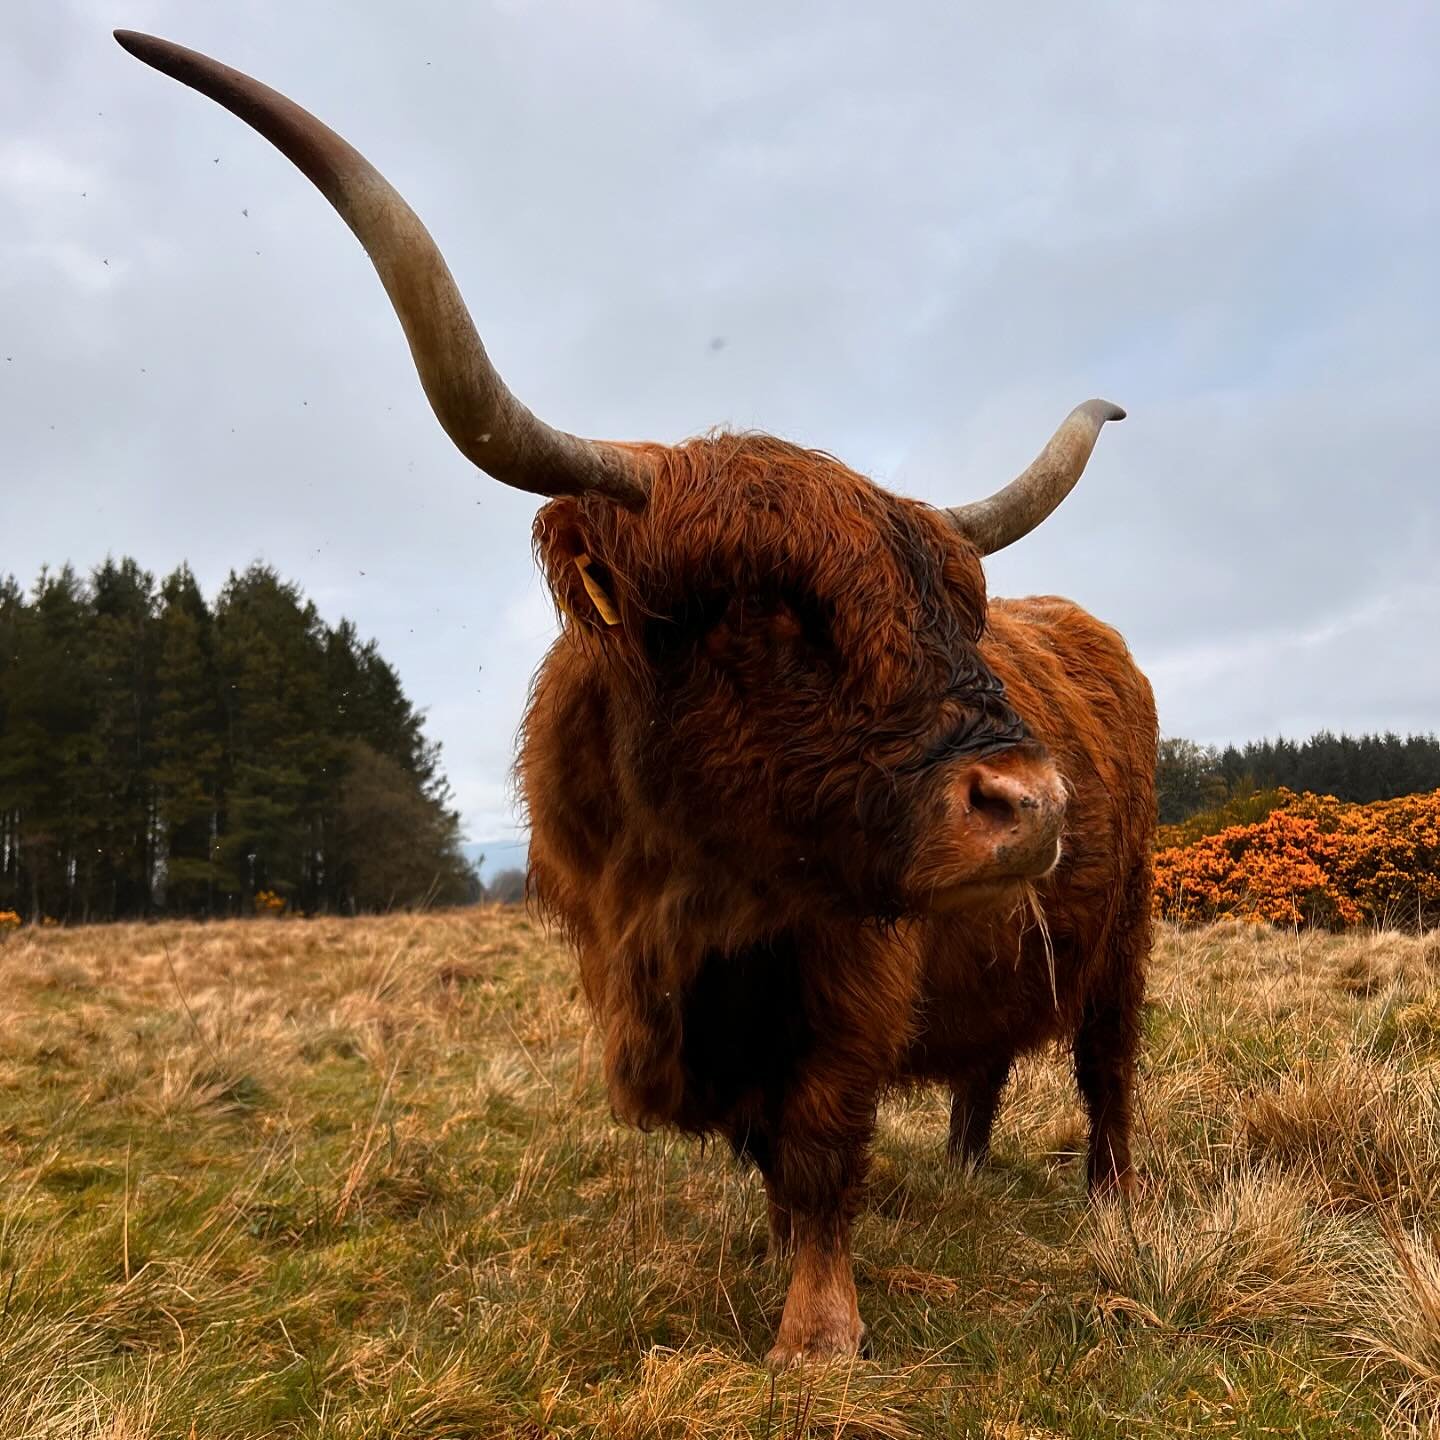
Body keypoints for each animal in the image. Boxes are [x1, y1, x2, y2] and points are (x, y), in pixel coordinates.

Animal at [120, 28, 1157, 1365]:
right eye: (768, 610)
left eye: (957, 611)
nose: (1028, 804)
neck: (693, 893)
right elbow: (772, 1156)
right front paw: (778, 1262)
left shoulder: (847, 987)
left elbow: (818, 1146)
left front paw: (817, 1332)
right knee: (987, 1059)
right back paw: (969, 1170)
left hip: (1124, 933)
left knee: (1107, 1067)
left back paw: (1112, 1203)